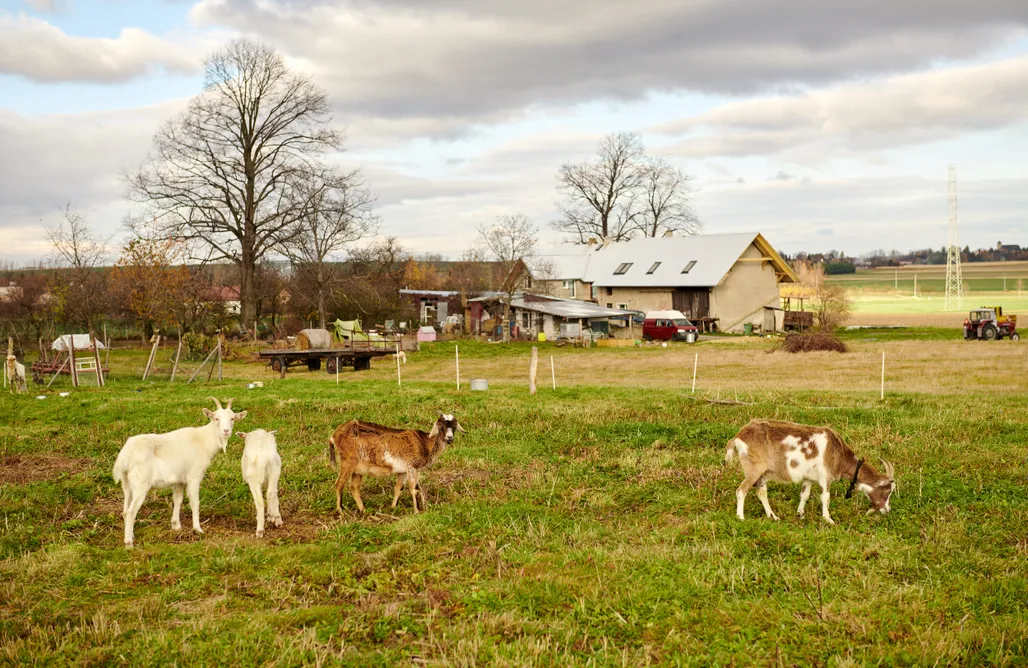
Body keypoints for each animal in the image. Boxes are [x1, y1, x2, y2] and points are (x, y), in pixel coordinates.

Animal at [112, 394, 246, 546]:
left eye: (233, 418)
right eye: (216, 418)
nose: (226, 431)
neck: (203, 439)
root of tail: (126, 456)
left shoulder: (179, 480)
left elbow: (178, 500)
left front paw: (176, 525)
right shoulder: (194, 476)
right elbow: (194, 502)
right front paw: (198, 529)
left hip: (127, 482)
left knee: (125, 509)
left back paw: (131, 535)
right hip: (141, 483)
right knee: (131, 512)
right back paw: (129, 543)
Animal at [324, 411, 466, 515]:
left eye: (454, 426)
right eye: (441, 426)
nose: (449, 438)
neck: (424, 442)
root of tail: (334, 435)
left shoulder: (403, 471)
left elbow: (398, 488)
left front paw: (393, 507)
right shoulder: (412, 467)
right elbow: (414, 489)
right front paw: (417, 511)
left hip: (358, 469)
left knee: (354, 487)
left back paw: (363, 510)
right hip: (348, 462)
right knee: (339, 484)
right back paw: (340, 511)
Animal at [727, 419, 896, 522]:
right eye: (888, 490)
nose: (887, 510)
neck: (839, 454)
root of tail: (738, 436)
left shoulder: (808, 479)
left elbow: (804, 495)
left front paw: (800, 514)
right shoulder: (825, 478)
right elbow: (825, 498)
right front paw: (829, 520)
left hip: (761, 474)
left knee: (761, 493)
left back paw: (773, 516)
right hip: (753, 469)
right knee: (741, 490)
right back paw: (740, 517)